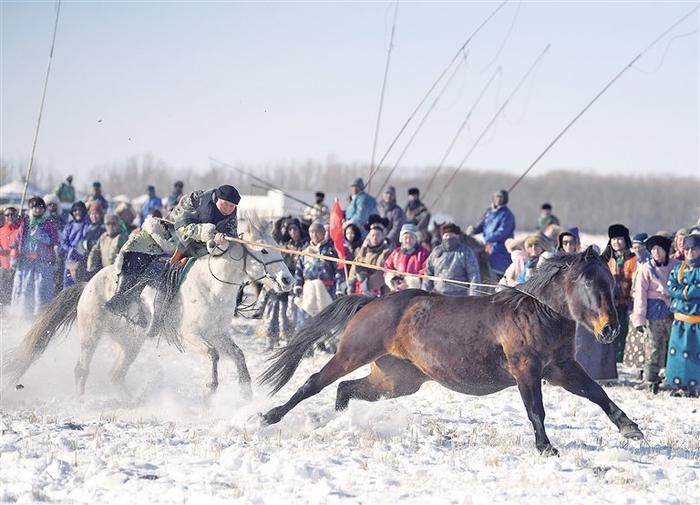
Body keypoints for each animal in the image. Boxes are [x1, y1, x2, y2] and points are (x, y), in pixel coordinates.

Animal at [2, 211, 292, 396]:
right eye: (263, 249)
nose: (287, 280)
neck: (212, 284)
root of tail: (88, 284)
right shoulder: (191, 334)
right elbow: (213, 354)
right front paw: (211, 387)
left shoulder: (218, 333)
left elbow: (238, 355)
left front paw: (245, 390)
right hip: (91, 334)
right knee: (82, 369)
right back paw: (84, 402)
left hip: (130, 341)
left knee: (116, 374)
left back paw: (131, 403)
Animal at [260, 246, 644, 454]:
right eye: (588, 282)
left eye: (610, 282)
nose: (611, 329)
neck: (537, 313)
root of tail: (371, 302)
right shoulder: (527, 370)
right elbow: (536, 410)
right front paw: (546, 447)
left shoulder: (562, 368)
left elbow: (597, 393)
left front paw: (631, 428)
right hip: (353, 353)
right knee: (314, 382)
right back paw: (269, 416)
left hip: (398, 380)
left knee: (345, 389)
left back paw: (337, 422)